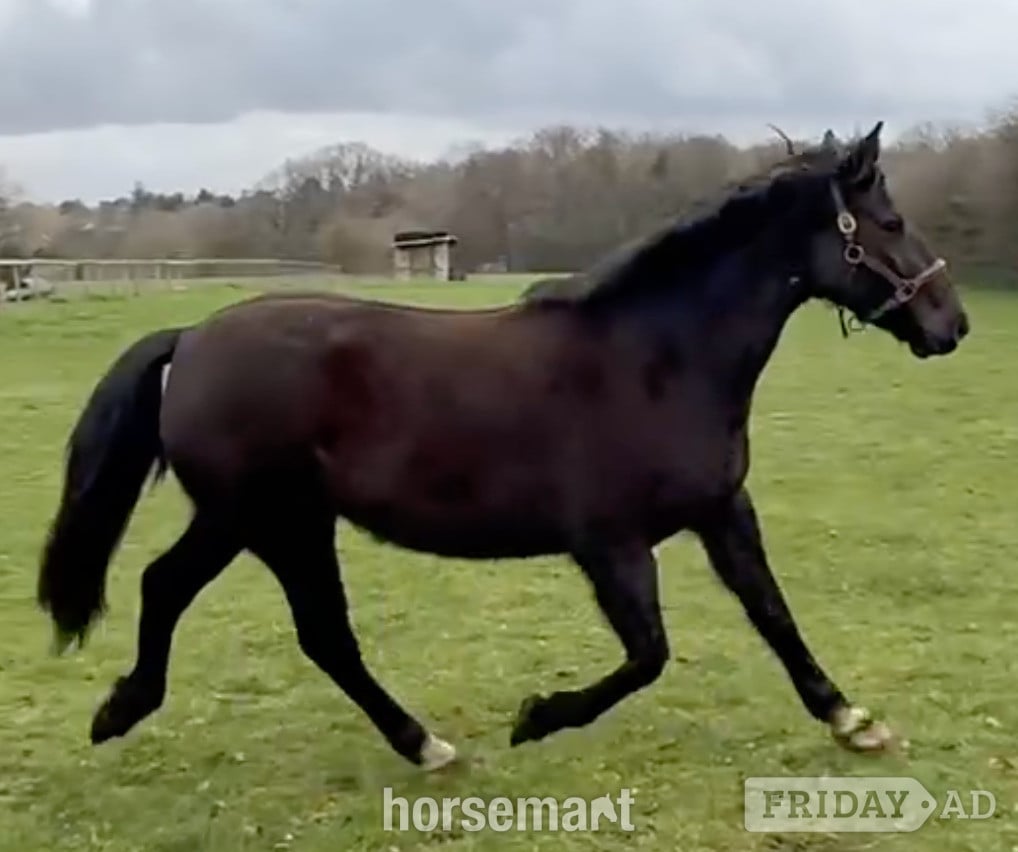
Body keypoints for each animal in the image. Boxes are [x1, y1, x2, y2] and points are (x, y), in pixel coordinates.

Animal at [37, 122, 969, 772]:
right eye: (889, 222)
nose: (950, 324)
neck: (658, 360)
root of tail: (191, 339)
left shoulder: (721, 510)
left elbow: (773, 614)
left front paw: (854, 721)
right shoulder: (610, 544)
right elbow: (647, 656)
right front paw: (538, 717)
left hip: (264, 521)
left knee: (214, 601)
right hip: (270, 521)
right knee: (278, 619)